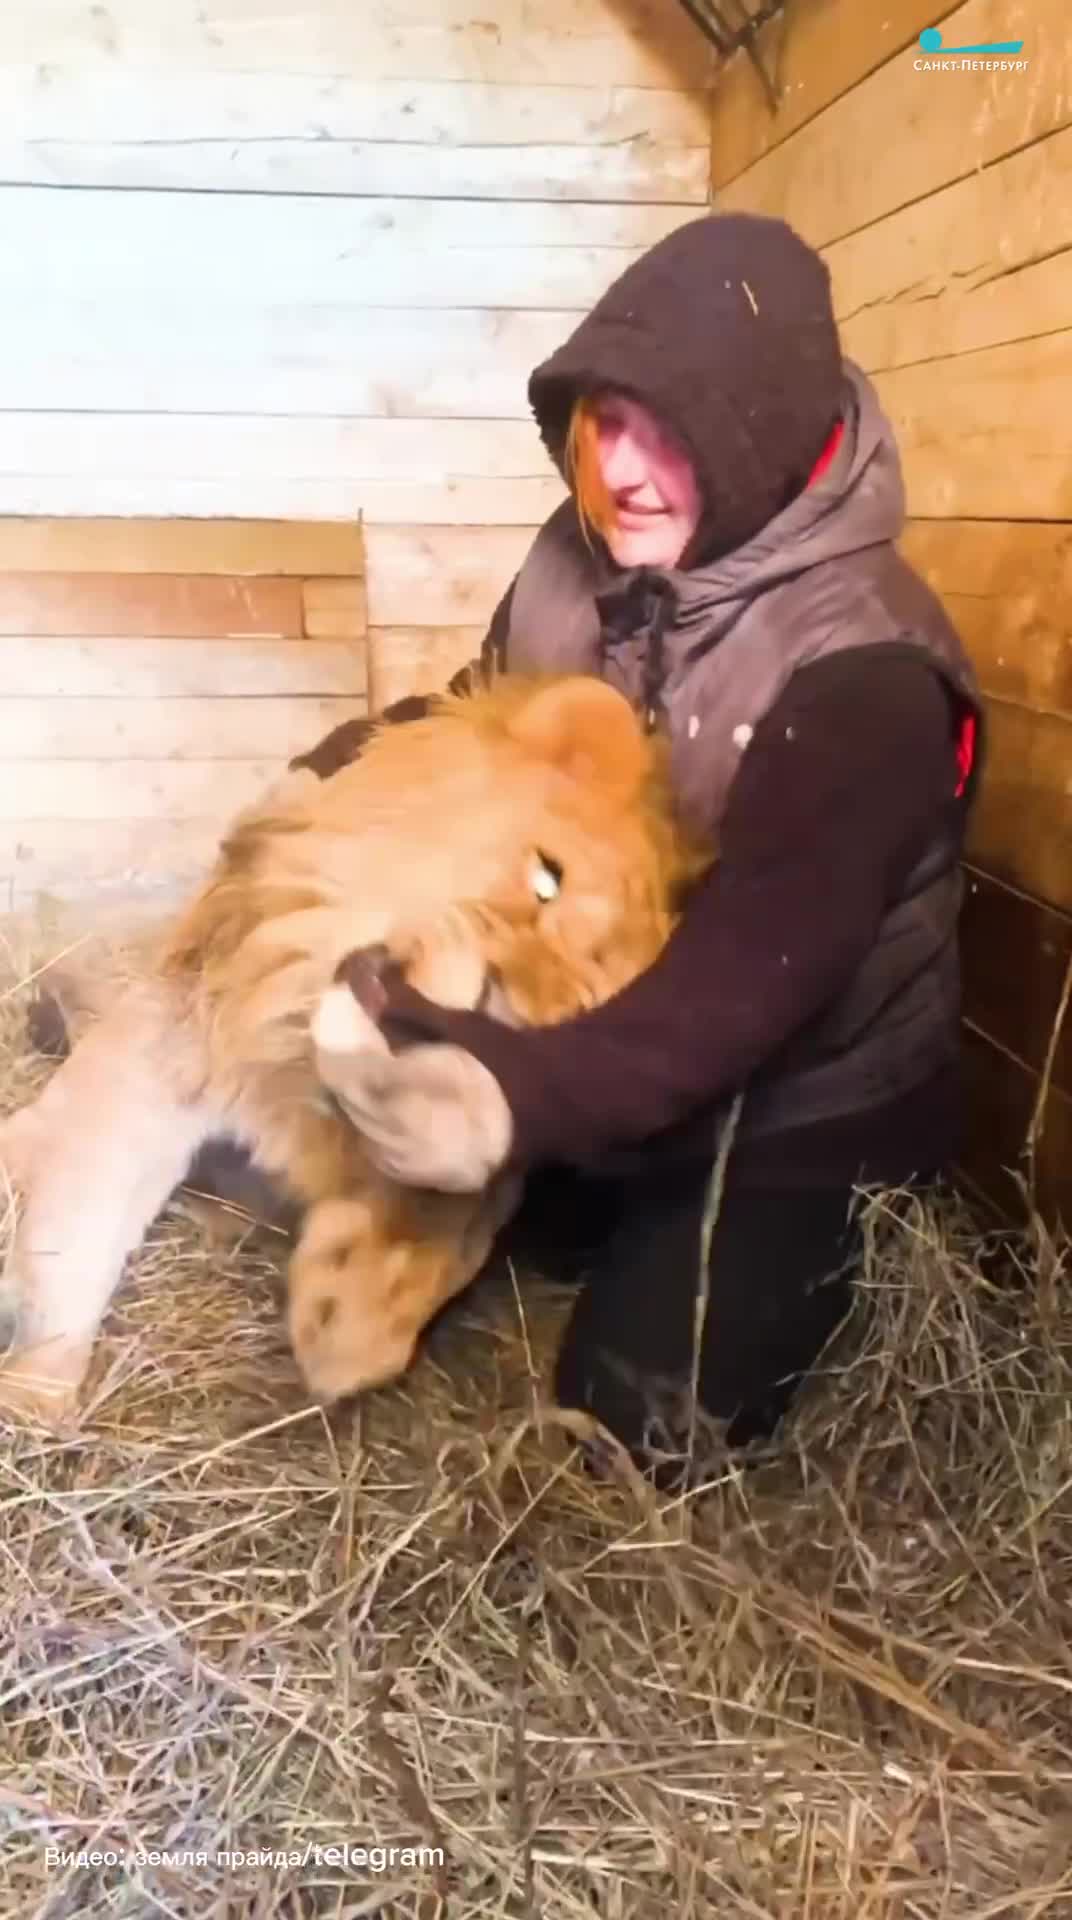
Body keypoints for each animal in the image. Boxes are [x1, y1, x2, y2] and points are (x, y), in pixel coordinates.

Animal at [0, 675, 710, 1428]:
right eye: (546, 880)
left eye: (570, 1022)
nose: (497, 1005)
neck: (294, 1045)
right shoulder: (167, 1051)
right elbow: (79, 1222)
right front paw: (35, 1393)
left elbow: (441, 1239)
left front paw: (344, 1298)